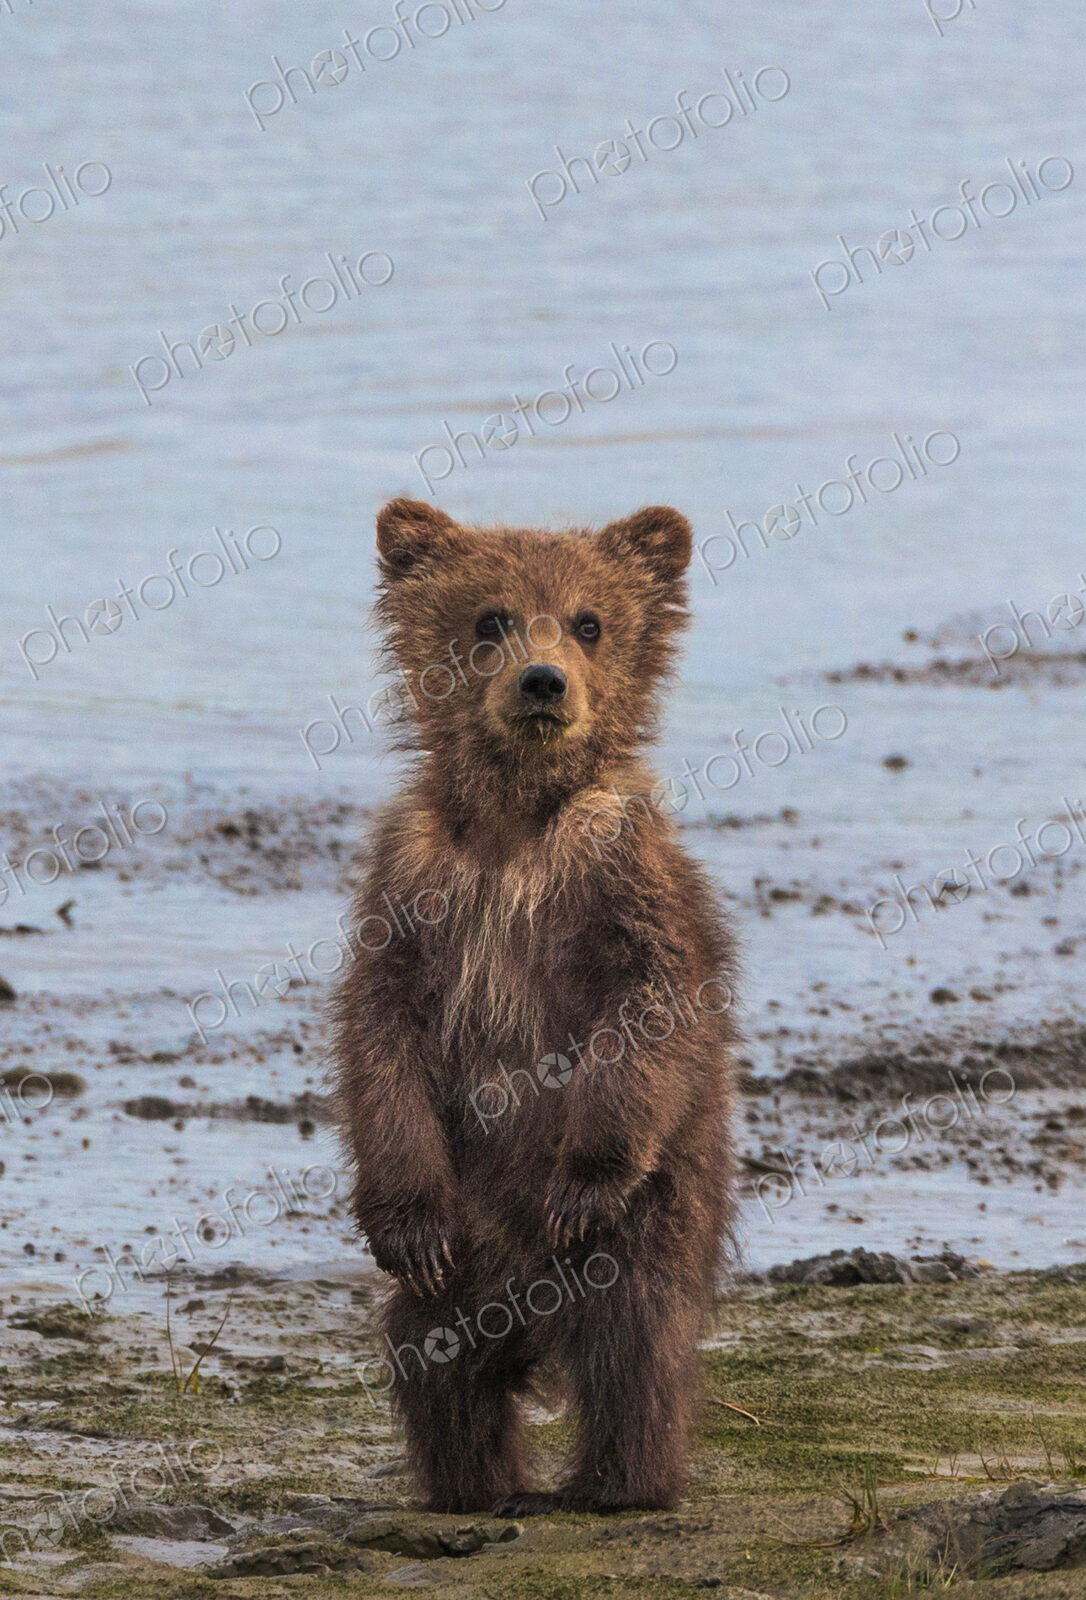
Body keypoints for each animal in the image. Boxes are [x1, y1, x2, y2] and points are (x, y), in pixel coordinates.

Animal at [331, 497, 739, 1515]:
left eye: (590, 621)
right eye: (490, 619)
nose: (544, 680)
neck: (516, 823)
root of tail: (530, 1326)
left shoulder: (622, 875)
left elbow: (652, 1007)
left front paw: (580, 1180)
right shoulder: (410, 881)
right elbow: (380, 1034)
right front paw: (406, 1224)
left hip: (651, 1230)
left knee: (633, 1348)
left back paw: (616, 1483)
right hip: (470, 1258)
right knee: (432, 1354)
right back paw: (478, 1485)